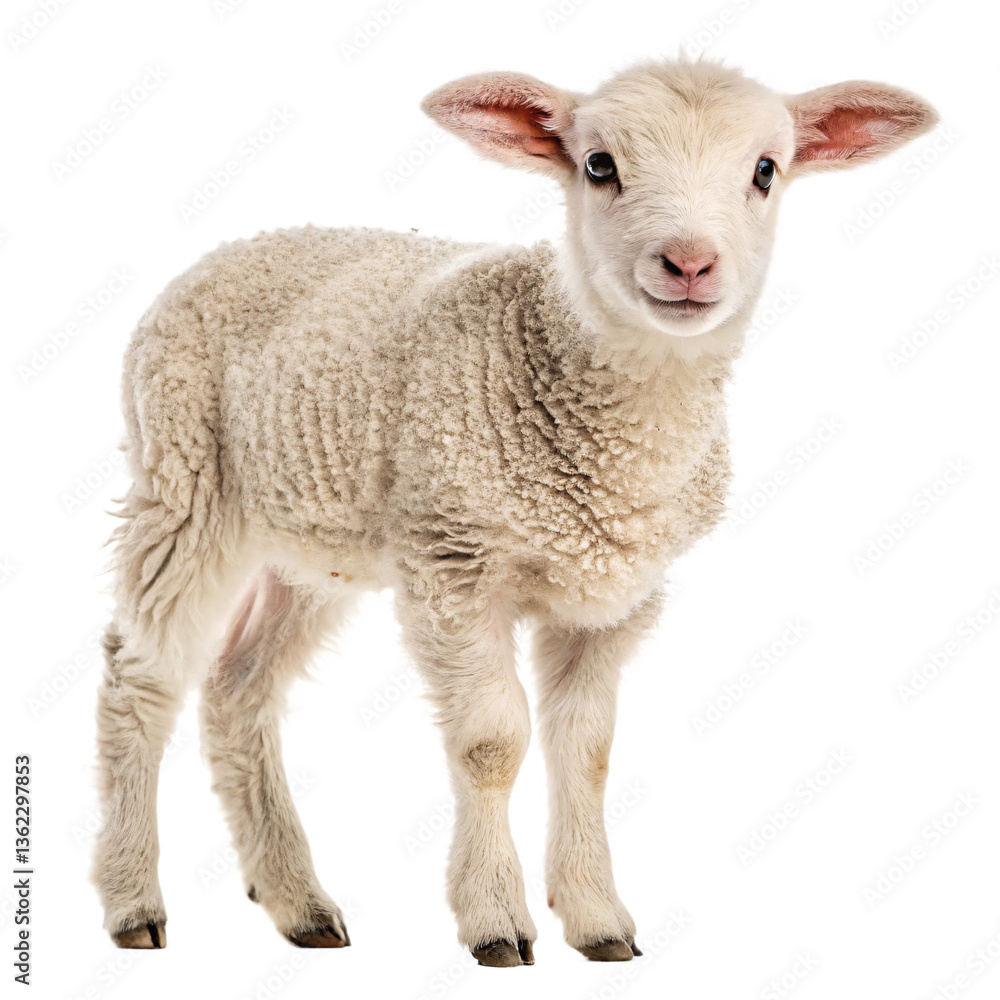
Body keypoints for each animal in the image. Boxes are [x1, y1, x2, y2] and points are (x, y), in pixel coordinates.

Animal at [91, 58, 937, 964]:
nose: (688, 262)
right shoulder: (453, 562)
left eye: (766, 171)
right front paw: (495, 918)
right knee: (139, 677)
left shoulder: (618, 593)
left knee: (238, 686)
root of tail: (234, 248)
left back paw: (299, 903)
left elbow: (587, 749)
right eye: (599, 165)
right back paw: (133, 900)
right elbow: (492, 743)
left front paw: (598, 918)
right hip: (184, 478)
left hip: (316, 536)